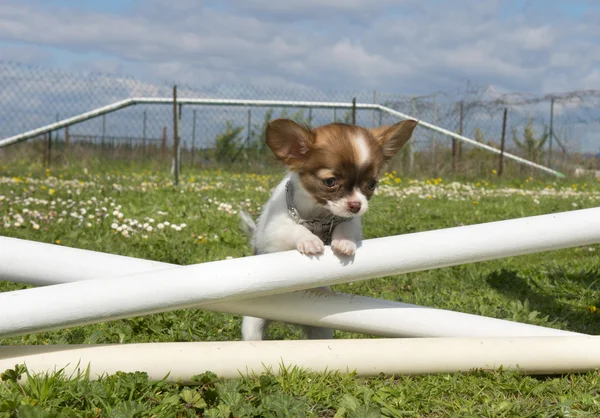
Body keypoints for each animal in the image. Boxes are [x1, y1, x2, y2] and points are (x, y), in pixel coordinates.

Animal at [240, 117, 418, 340]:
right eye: (330, 181)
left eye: (372, 184)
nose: (356, 205)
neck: (318, 214)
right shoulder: (274, 233)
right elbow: (294, 229)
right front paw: (310, 241)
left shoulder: (350, 222)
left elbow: (346, 226)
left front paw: (344, 242)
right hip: (253, 324)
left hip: (320, 327)